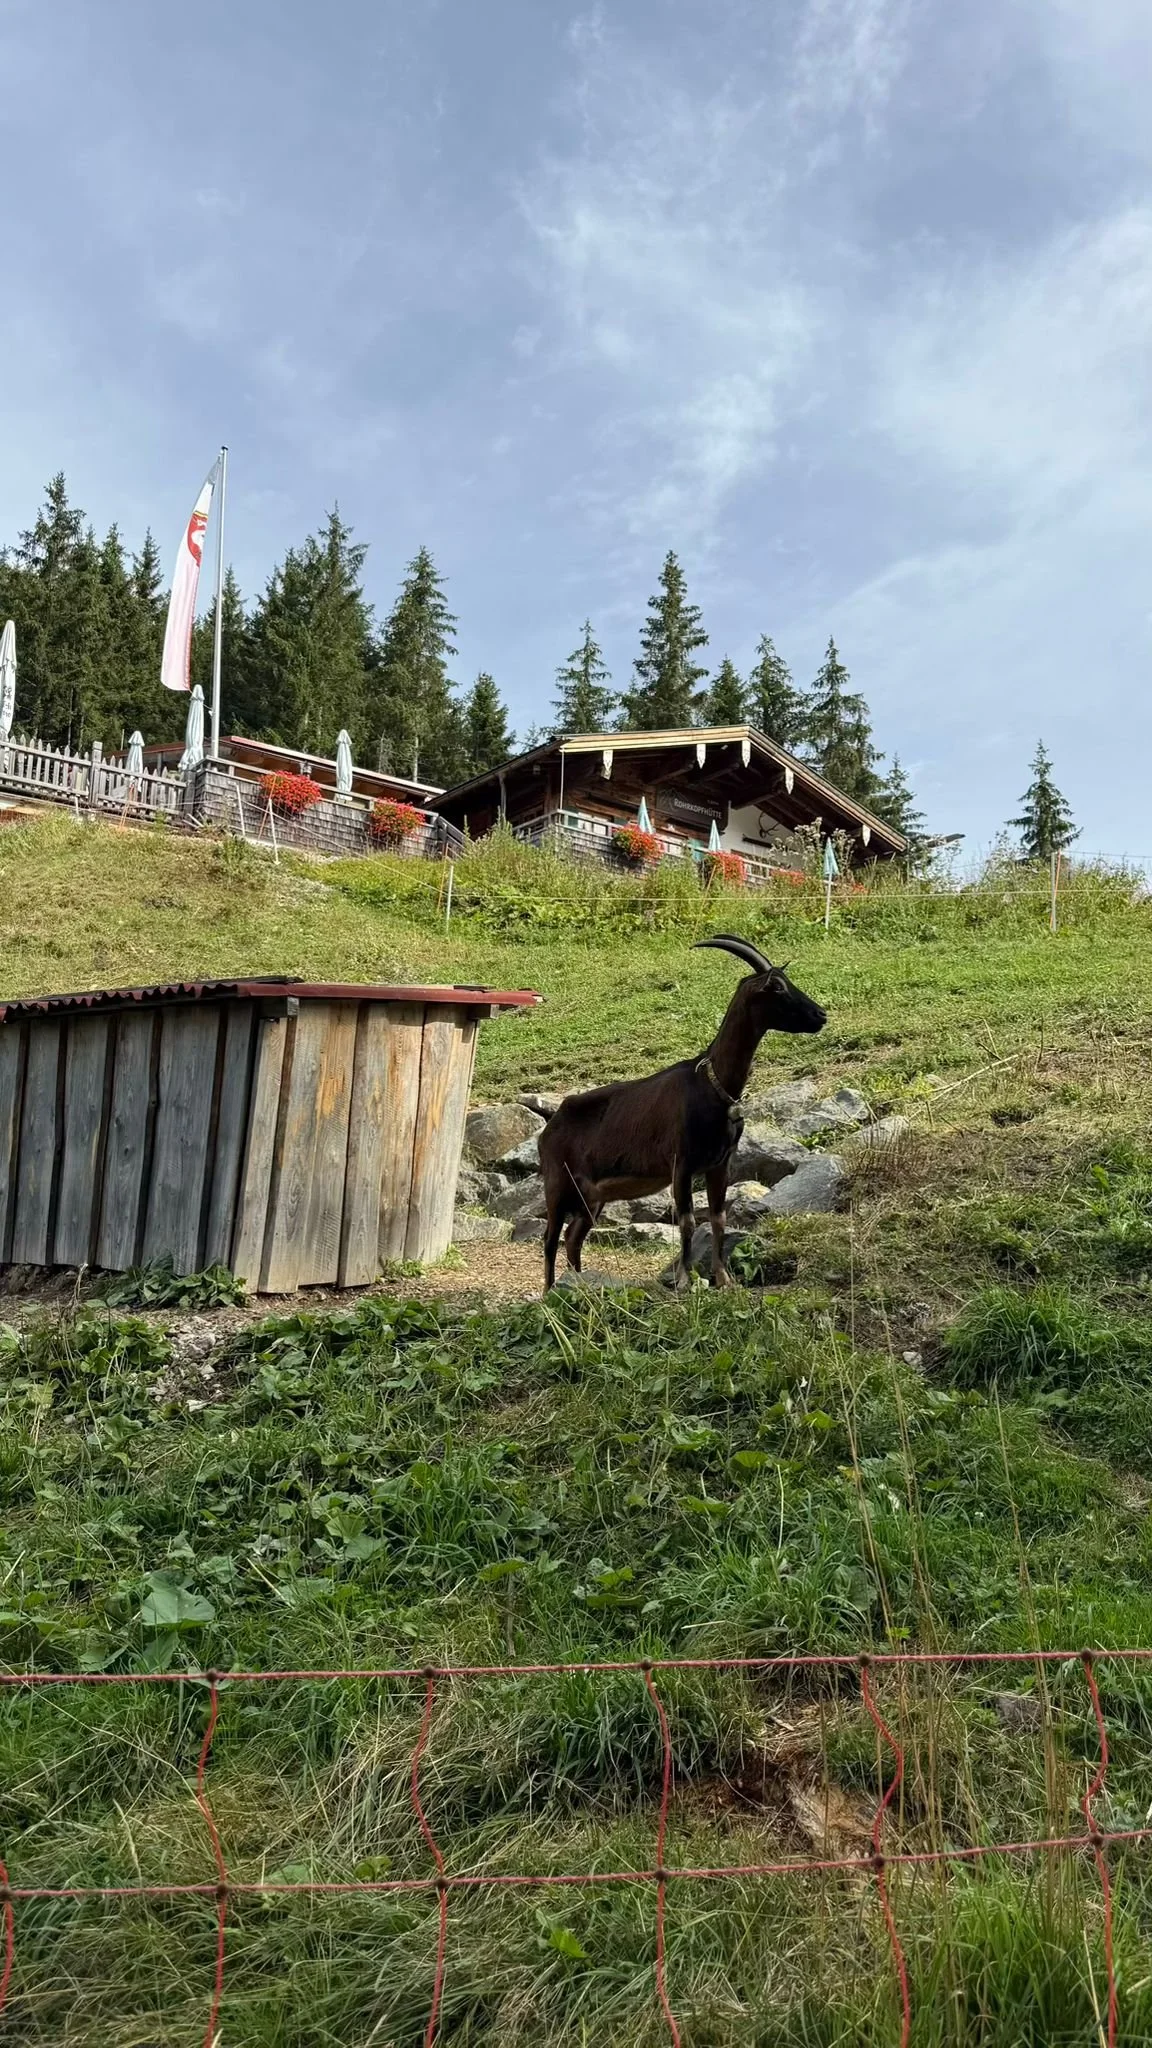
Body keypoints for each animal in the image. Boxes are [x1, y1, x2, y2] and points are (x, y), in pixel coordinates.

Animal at [537, 935, 826, 1292]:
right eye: (776, 986)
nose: (820, 1014)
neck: (713, 1084)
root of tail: (550, 1125)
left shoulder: (720, 1164)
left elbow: (718, 1219)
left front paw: (723, 1279)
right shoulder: (681, 1164)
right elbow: (687, 1221)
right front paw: (685, 1281)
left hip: (591, 1198)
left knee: (573, 1237)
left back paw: (576, 1282)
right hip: (557, 1185)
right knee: (550, 1238)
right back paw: (550, 1291)